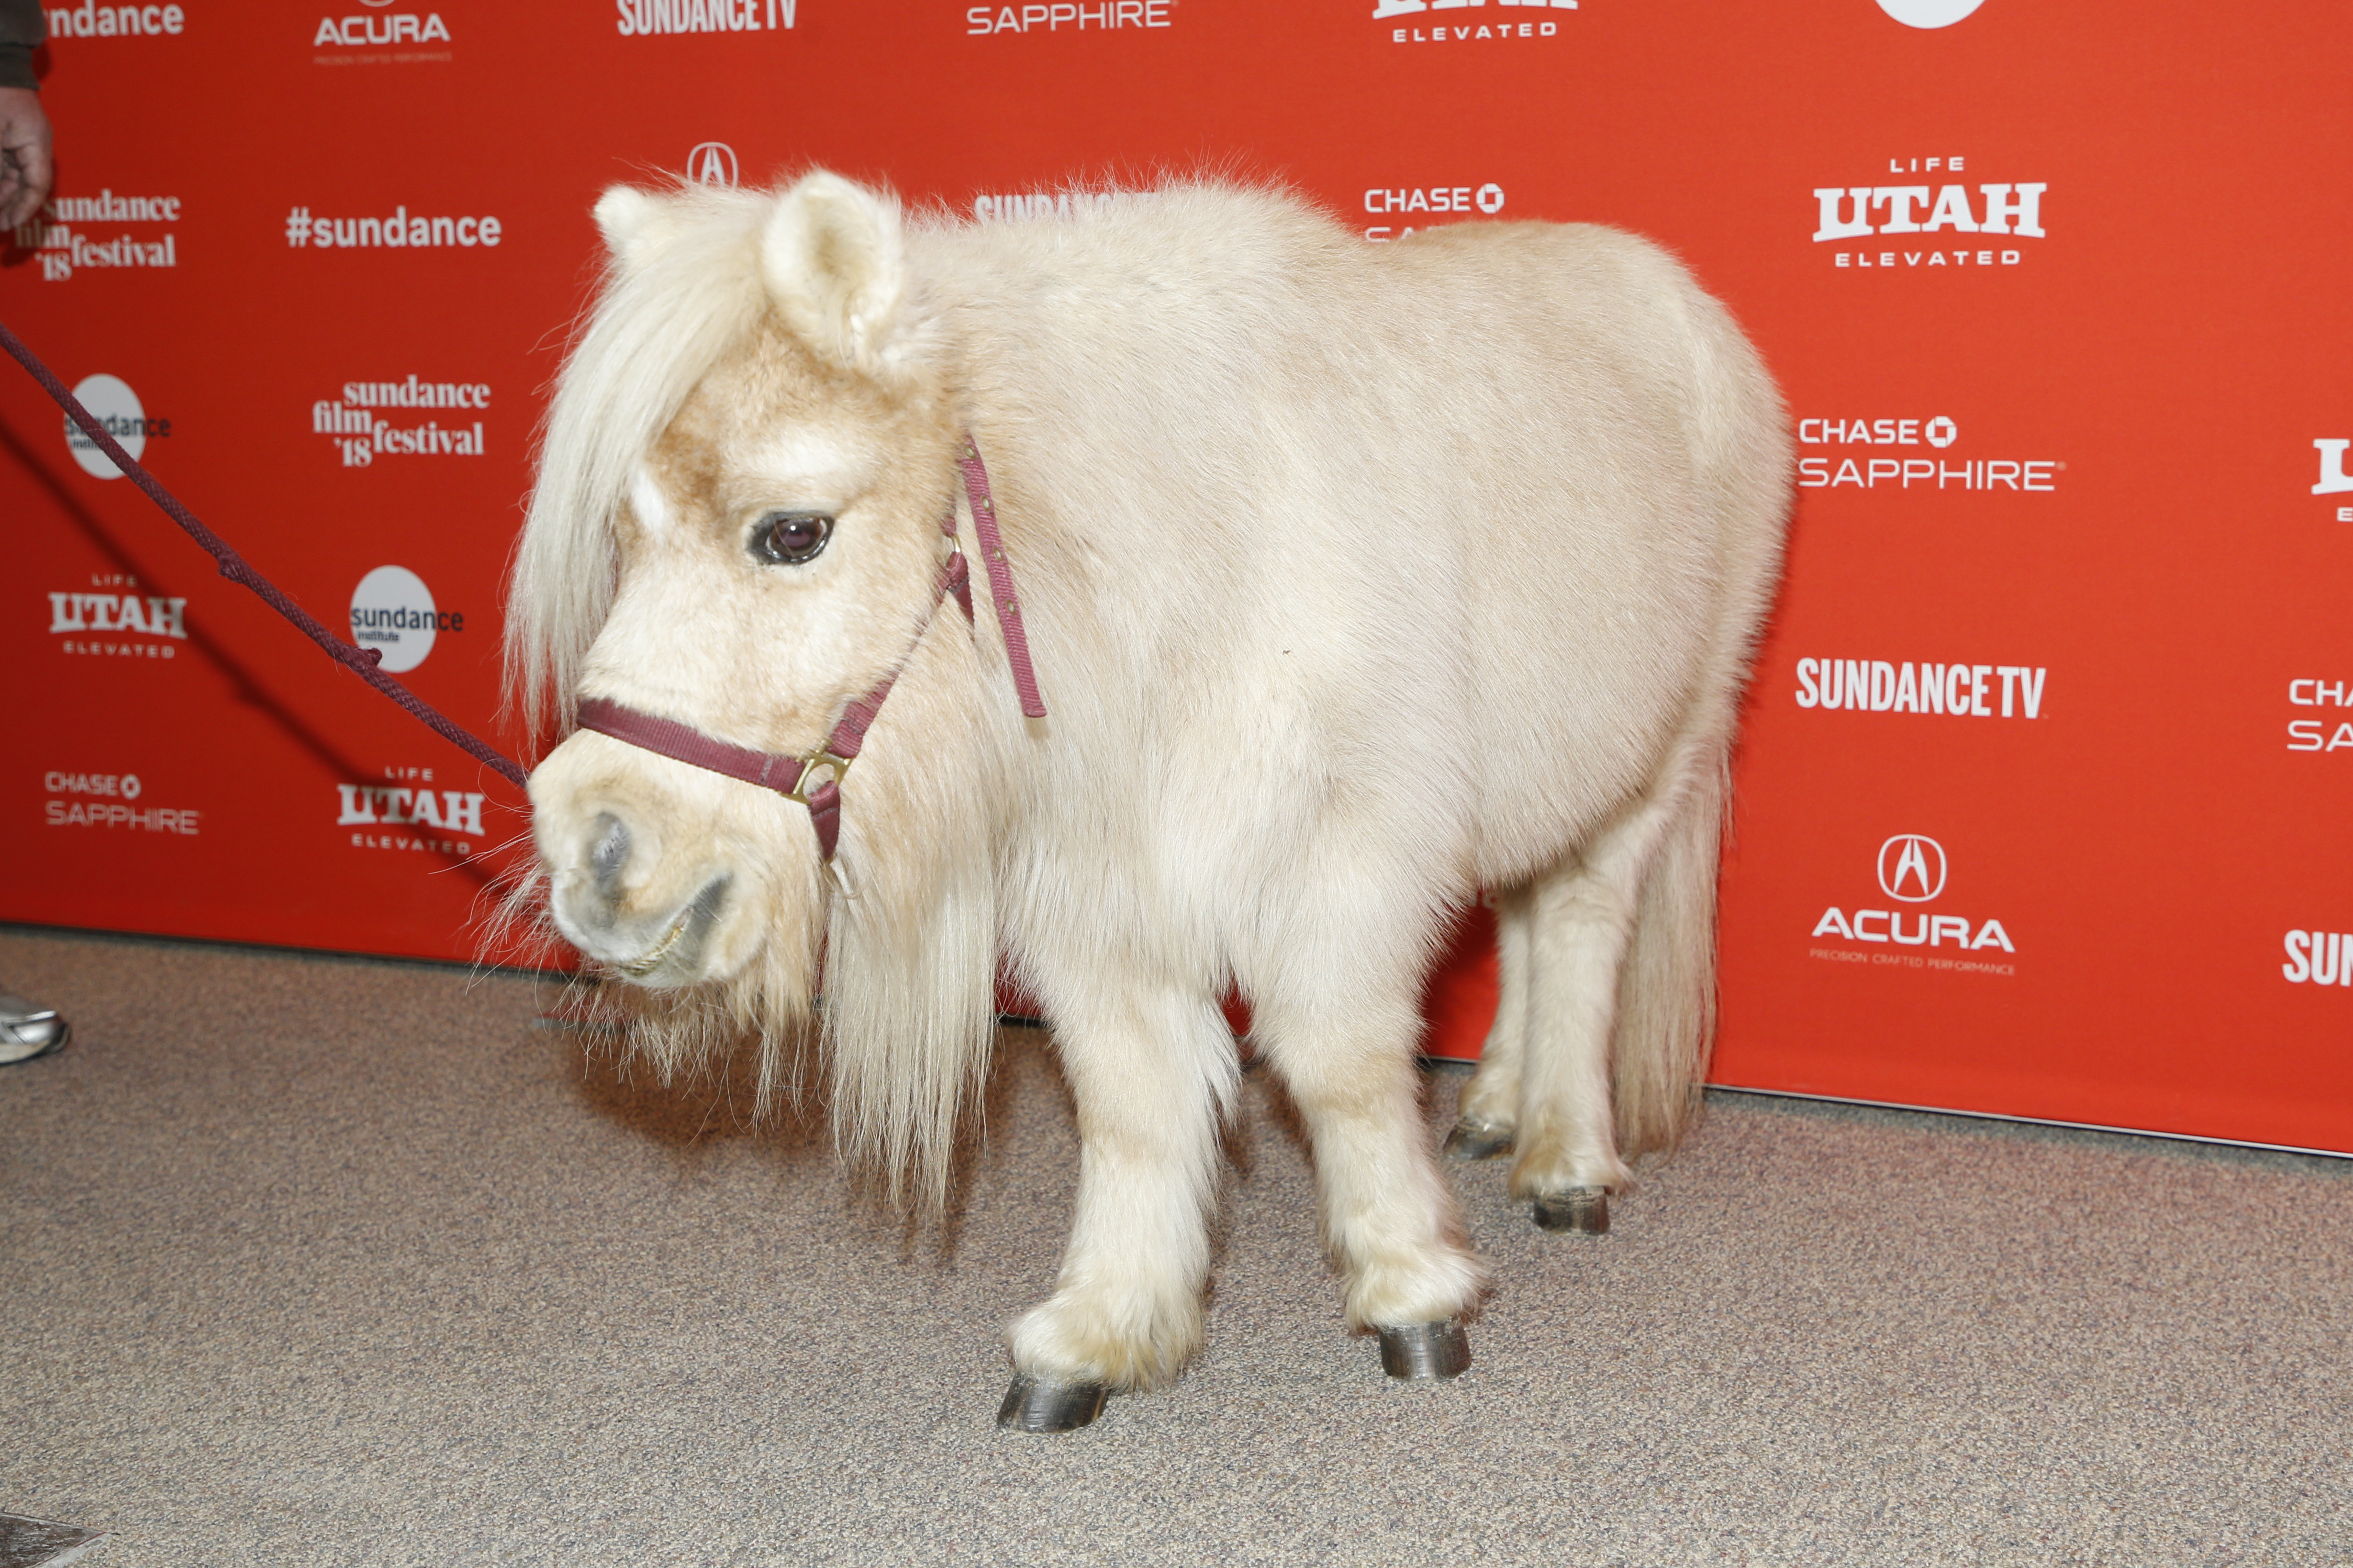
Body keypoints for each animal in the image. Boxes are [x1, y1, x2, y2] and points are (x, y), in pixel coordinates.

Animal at [509, 170, 1791, 1432]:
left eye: (792, 531)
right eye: (625, 533)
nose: (599, 855)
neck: (1174, 567)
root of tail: (1694, 313)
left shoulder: (1345, 864)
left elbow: (1340, 1065)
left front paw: (1412, 1294)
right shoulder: (1094, 889)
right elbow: (1132, 1099)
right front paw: (1101, 1331)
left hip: (1663, 751)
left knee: (1578, 929)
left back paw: (1565, 1161)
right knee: (1527, 917)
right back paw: (1493, 1110)